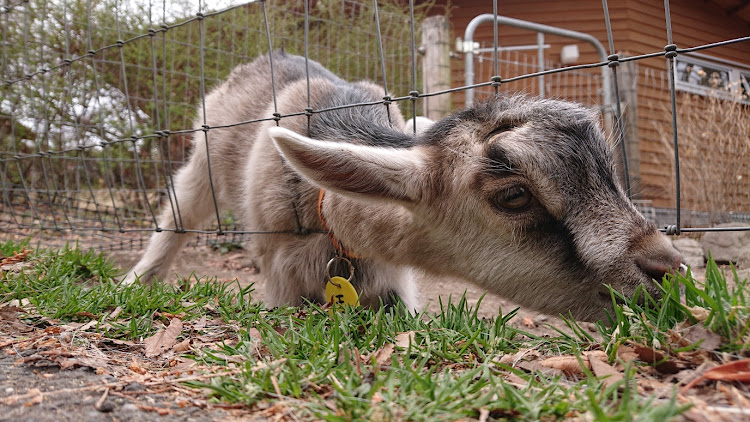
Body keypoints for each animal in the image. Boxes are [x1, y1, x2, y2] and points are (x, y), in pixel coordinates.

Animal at [120, 52, 684, 320]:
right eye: (514, 196)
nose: (669, 271)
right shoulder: (279, 274)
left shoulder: (396, 281)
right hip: (201, 163)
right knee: (177, 217)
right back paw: (134, 281)